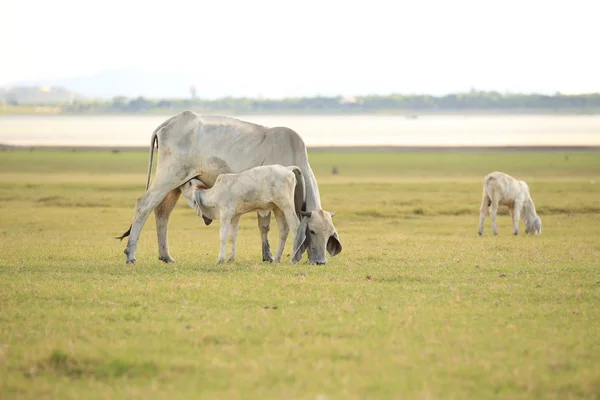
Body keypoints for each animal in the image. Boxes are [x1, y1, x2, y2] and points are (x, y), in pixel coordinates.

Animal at [116, 111, 342, 264]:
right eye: (312, 231)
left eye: (329, 233)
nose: (320, 261)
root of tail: (173, 120)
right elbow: (265, 225)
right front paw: (268, 256)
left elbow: (264, 227)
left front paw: (267, 256)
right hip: (169, 176)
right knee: (144, 205)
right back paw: (131, 254)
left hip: (177, 183)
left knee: (162, 213)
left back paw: (166, 256)